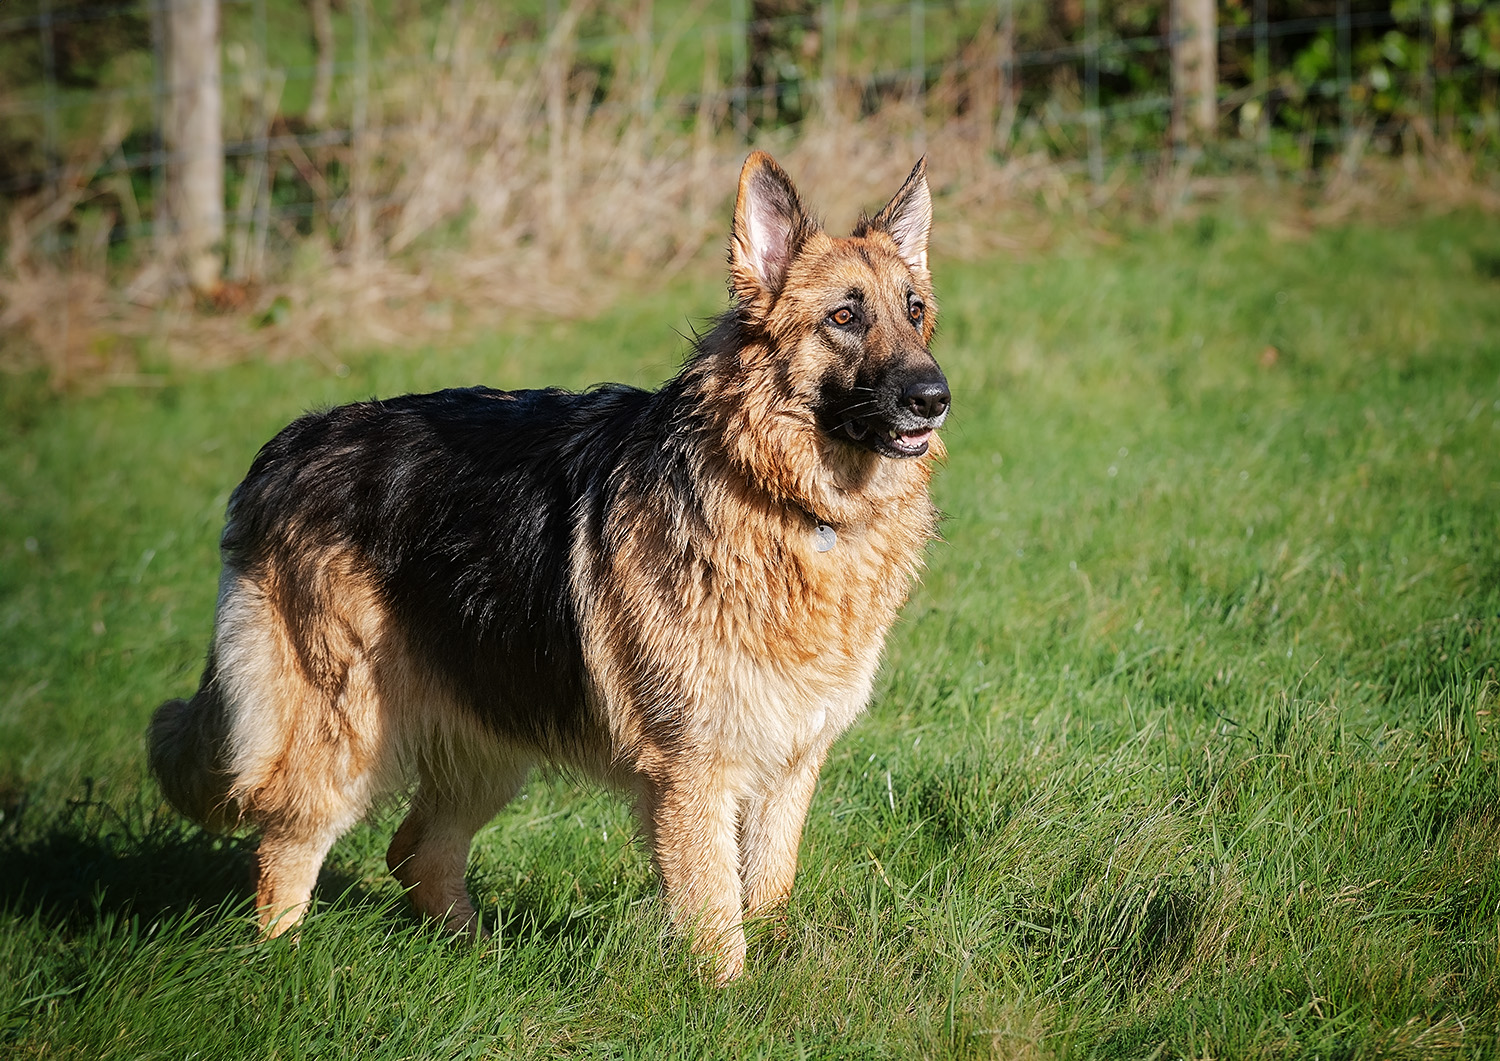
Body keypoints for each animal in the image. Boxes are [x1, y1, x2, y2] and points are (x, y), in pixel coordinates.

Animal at [152, 153, 948, 984]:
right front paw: (731, 999)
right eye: (844, 318)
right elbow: (716, 916)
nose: (935, 397)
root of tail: (290, 444)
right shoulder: (694, 772)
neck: (781, 497)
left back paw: (480, 960)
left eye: (914, 310)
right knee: (287, 851)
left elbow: (766, 892)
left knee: (416, 852)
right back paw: (281, 968)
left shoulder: (790, 761)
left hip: (492, 733)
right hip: (341, 737)